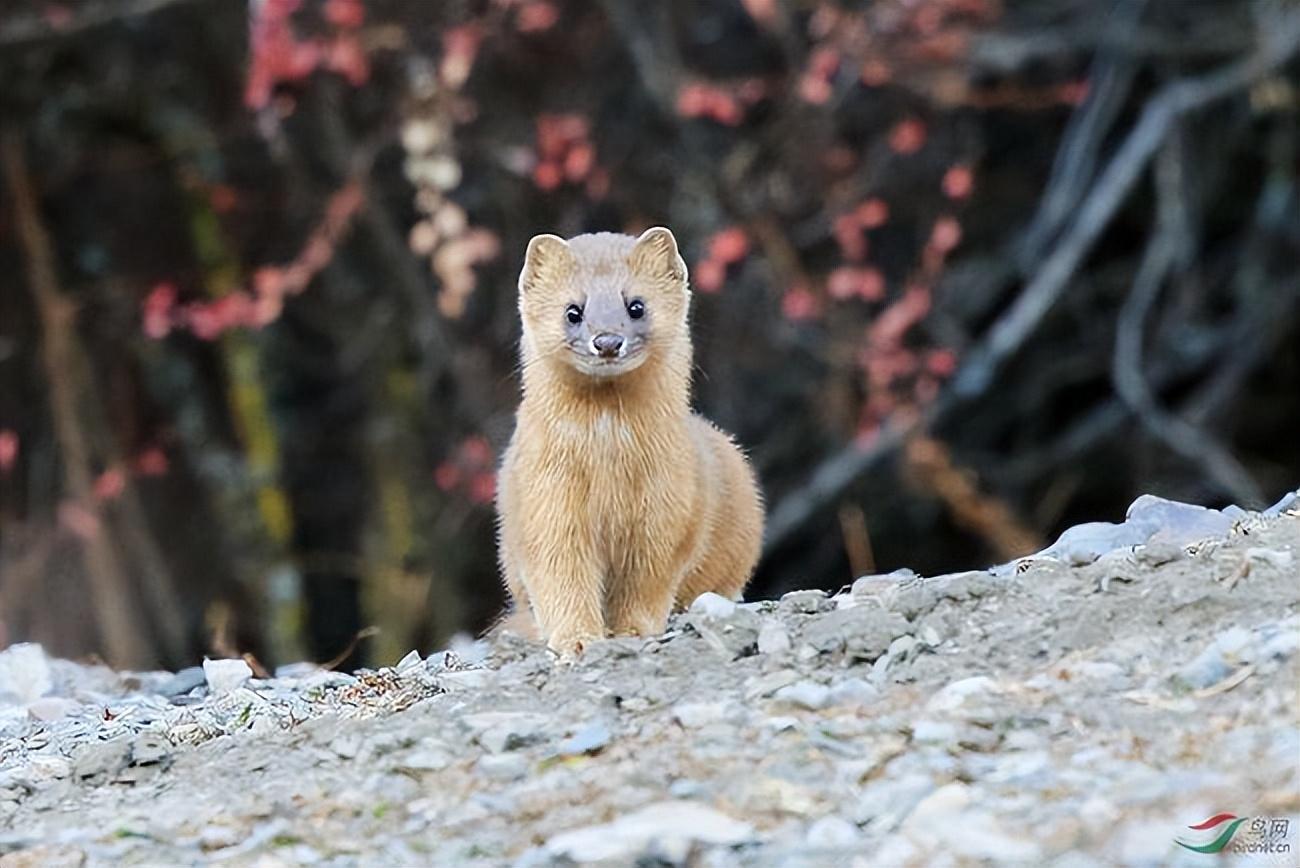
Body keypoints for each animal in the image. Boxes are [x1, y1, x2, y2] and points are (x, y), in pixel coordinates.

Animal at [495, 227, 764, 656]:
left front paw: (632, 631)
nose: (607, 341)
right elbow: (559, 574)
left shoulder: (670, 505)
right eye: (573, 311)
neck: (608, 464)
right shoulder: (545, 499)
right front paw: (576, 640)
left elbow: (648, 578)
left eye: (636, 305)